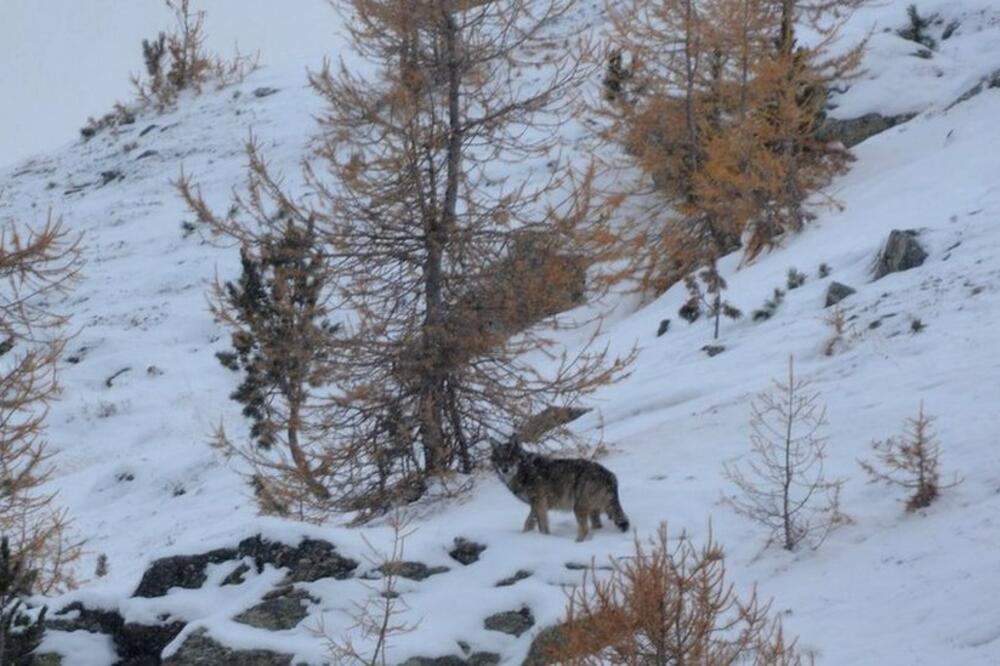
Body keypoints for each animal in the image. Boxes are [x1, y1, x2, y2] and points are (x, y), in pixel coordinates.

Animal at [491, 437, 630, 542]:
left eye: (510, 458)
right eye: (500, 459)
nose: (504, 469)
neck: (524, 471)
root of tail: (610, 476)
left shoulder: (539, 503)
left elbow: (542, 526)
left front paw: (544, 538)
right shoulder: (535, 506)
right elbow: (528, 523)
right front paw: (524, 535)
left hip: (578, 508)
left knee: (584, 529)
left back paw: (576, 544)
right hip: (593, 511)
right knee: (596, 526)